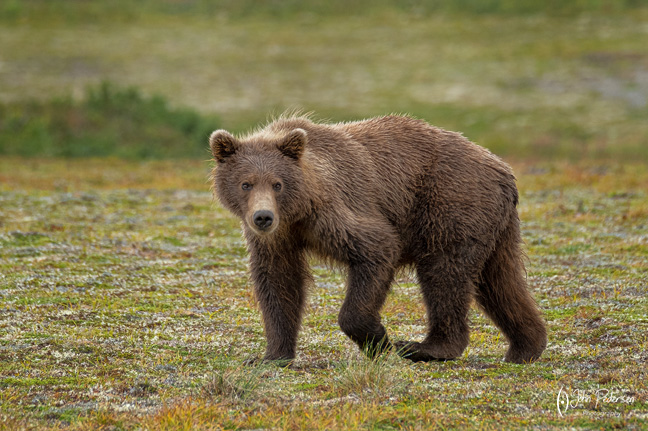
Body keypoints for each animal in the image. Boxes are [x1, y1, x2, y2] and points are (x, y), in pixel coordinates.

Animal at [209, 114, 547, 365]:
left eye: (277, 184)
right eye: (245, 184)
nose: (263, 217)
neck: (299, 210)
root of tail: (504, 170)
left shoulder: (335, 210)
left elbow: (376, 248)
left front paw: (379, 340)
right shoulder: (277, 240)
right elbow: (278, 282)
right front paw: (271, 355)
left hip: (451, 203)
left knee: (444, 274)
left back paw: (425, 348)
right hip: (495, 227)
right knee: (499, 280)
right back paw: (526, 346)